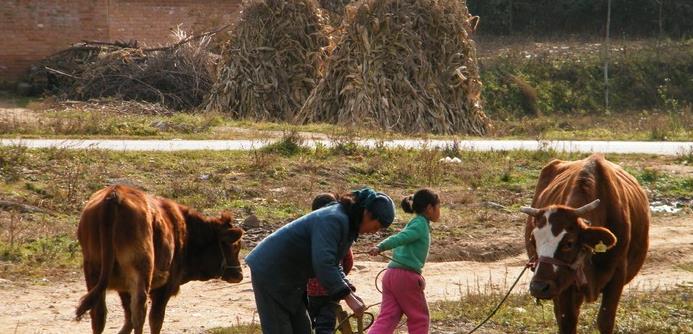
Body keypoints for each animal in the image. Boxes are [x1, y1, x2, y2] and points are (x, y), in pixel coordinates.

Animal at [75, 185, 243, 334]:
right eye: (235, 246)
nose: (239, 275)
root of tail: (114, 195)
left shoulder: (124, 288)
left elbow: (128, 319)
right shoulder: (164, 287)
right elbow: (155, 320)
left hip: (93, 269)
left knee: (99, 314)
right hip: (141, 270)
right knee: (139, 312)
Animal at [520, 155, 648, 332]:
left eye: (569, 243)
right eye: (533, 241)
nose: (539, 287)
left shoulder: (618, 276)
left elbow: (605, 321)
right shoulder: (566, 284)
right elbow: (567, 322)